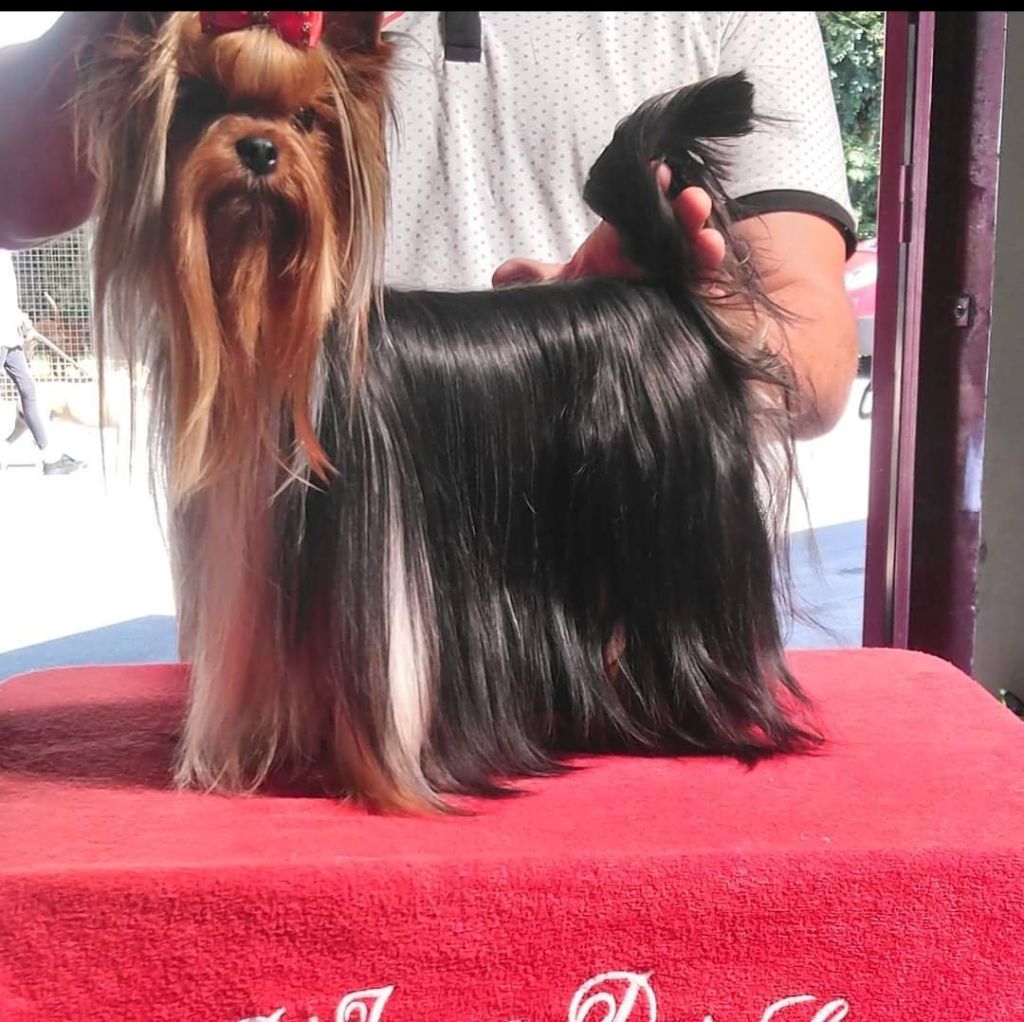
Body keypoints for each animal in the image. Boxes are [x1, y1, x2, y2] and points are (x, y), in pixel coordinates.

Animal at [74, 11, 819, 812]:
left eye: (309, 120)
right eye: (202, 104)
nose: (260, 149)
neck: (268, 319)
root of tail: (666, 289)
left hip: (677, 526)